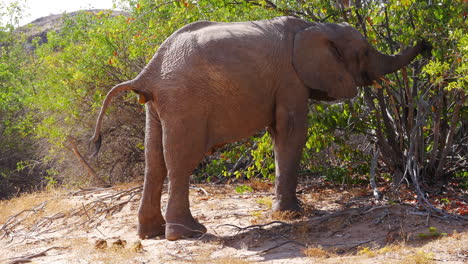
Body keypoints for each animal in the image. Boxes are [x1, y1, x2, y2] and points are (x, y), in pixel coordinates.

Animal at [92, 15, 432, 240]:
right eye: (364, 53)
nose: (426, 43)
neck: (314, 26)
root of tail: (148, 73)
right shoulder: (291, 79)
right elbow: (292, 133)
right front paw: (292, 214)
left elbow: (280, 135)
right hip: (184, 100)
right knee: (181, 162)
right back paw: (188, 233)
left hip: (156, 105)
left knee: (154, 163)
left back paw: (150, 234)